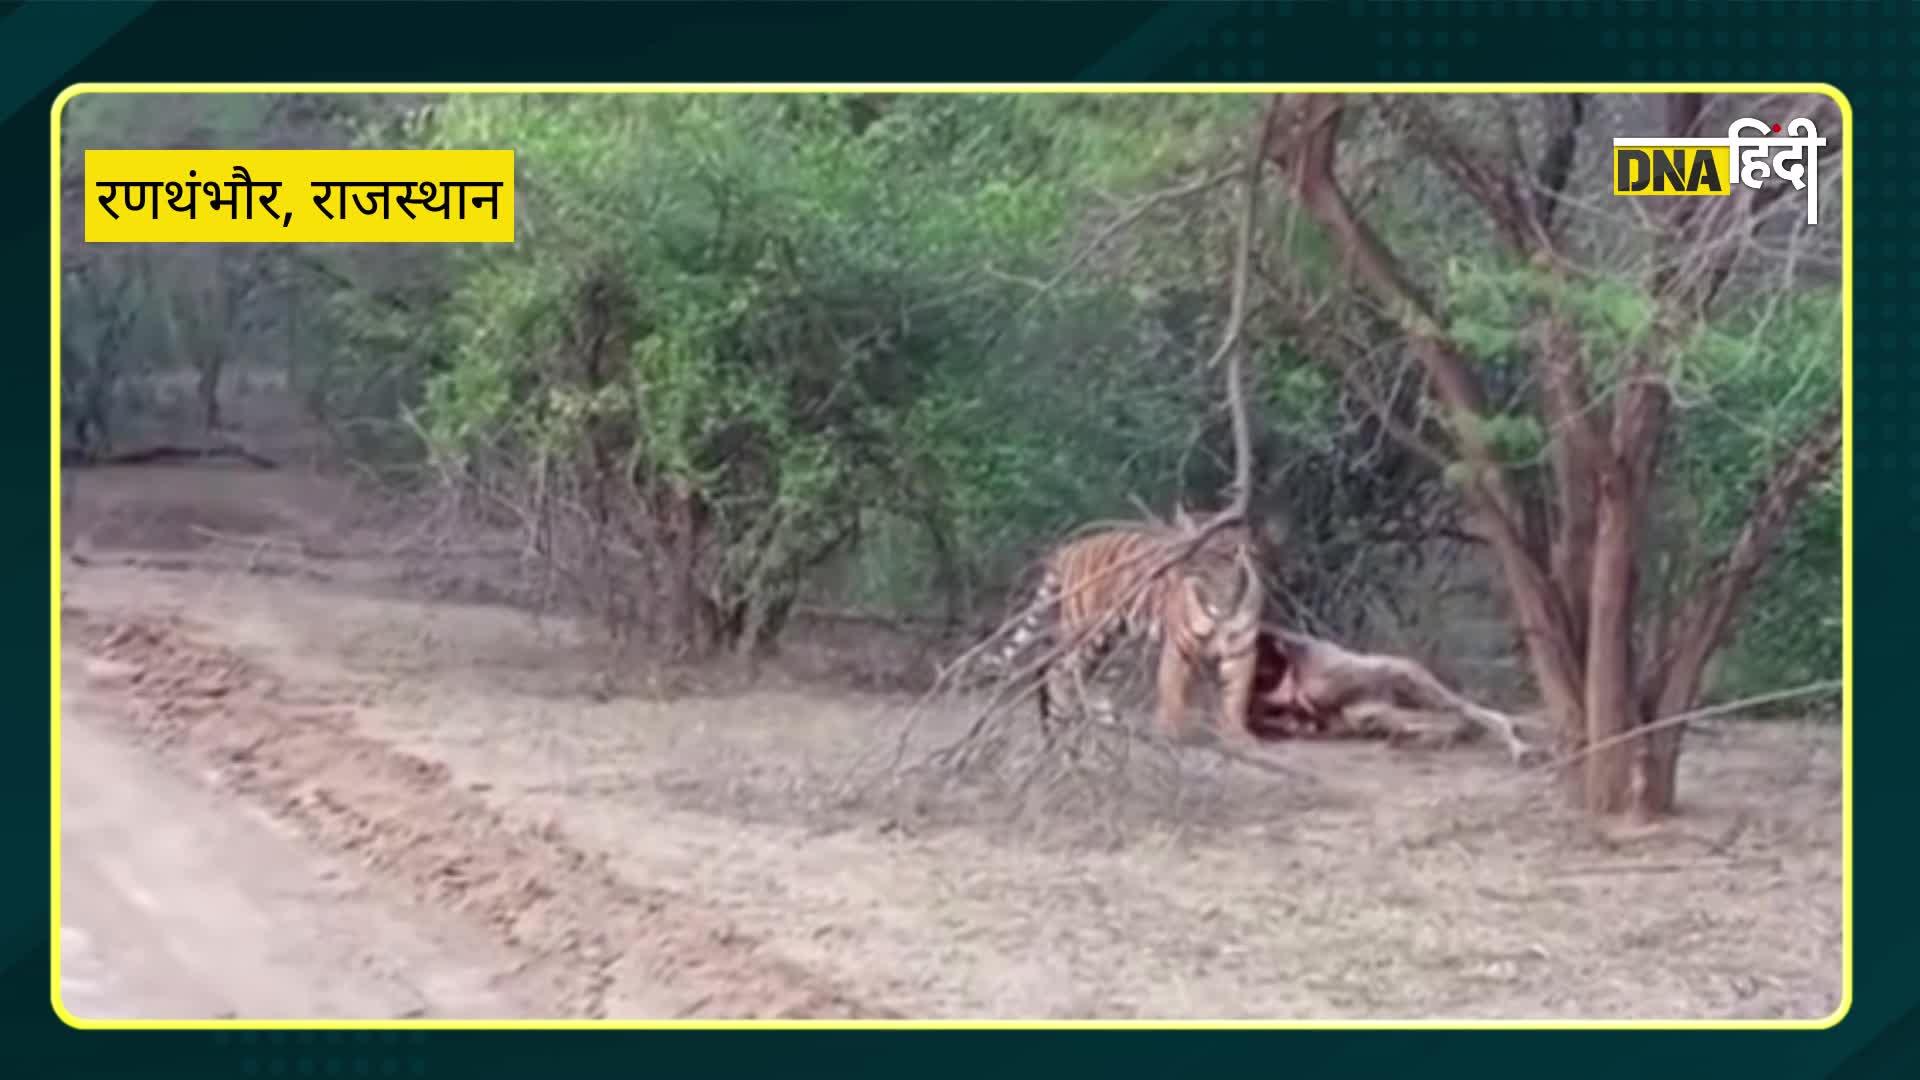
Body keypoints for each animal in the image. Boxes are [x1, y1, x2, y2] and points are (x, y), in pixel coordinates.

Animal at [990, 507, 1274, 745]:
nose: (1168, 565)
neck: (1220, 599)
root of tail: (1070, 549)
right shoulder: (1179, 646)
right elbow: (1172, 689)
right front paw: (1172, 730)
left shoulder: (1242, 651)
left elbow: (1237, 697)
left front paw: (1236, 736)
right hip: (1086, 632)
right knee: (1055, 671)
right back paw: (1057, 723)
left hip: (1116, 644)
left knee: (1096, 679)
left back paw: (1111, 723)